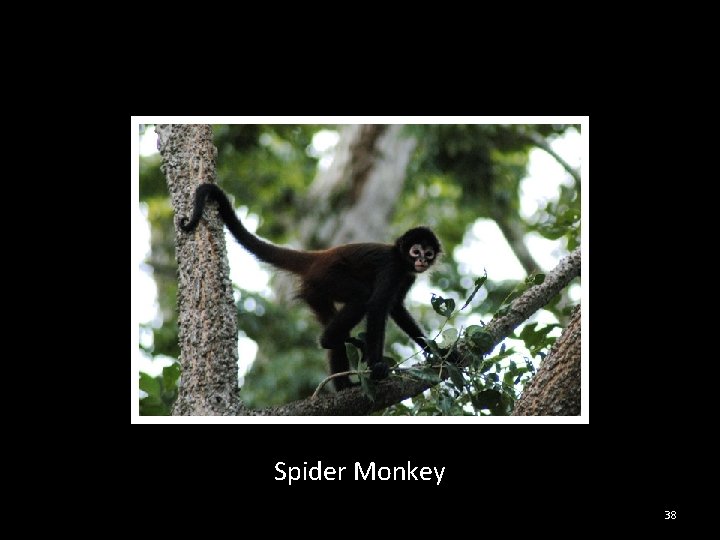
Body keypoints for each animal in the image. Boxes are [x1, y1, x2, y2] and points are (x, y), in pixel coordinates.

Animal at [180, 183, 441, 391]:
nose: (421, 260)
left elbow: (396, 308)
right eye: (415, 251)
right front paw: (377, 367)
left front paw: (436, 351)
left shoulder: (407, 276)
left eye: (428, 254)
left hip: (316, 292)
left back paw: (343, 382)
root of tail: (319, 258)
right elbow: (377, 306)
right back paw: (333, 342)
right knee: (361, 298)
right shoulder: (392, 267)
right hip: (328, 277)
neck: (401, 259)